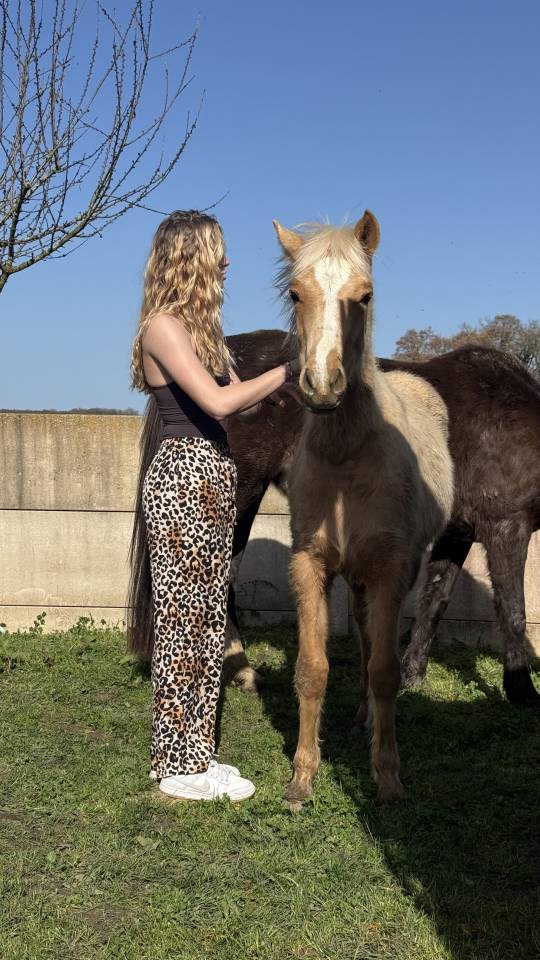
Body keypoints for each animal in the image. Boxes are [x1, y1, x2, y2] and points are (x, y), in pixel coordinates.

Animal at [272, 211, 454, 803]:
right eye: (295, 292)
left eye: (365, 295)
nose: (322, 386)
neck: (348, 455)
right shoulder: (309, 563)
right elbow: (312, 668)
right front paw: (302, 775)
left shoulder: (392, 568)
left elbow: (385, 671)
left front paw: (388, 776)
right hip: (355, 577)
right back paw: (357, 719)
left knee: (378, 645)